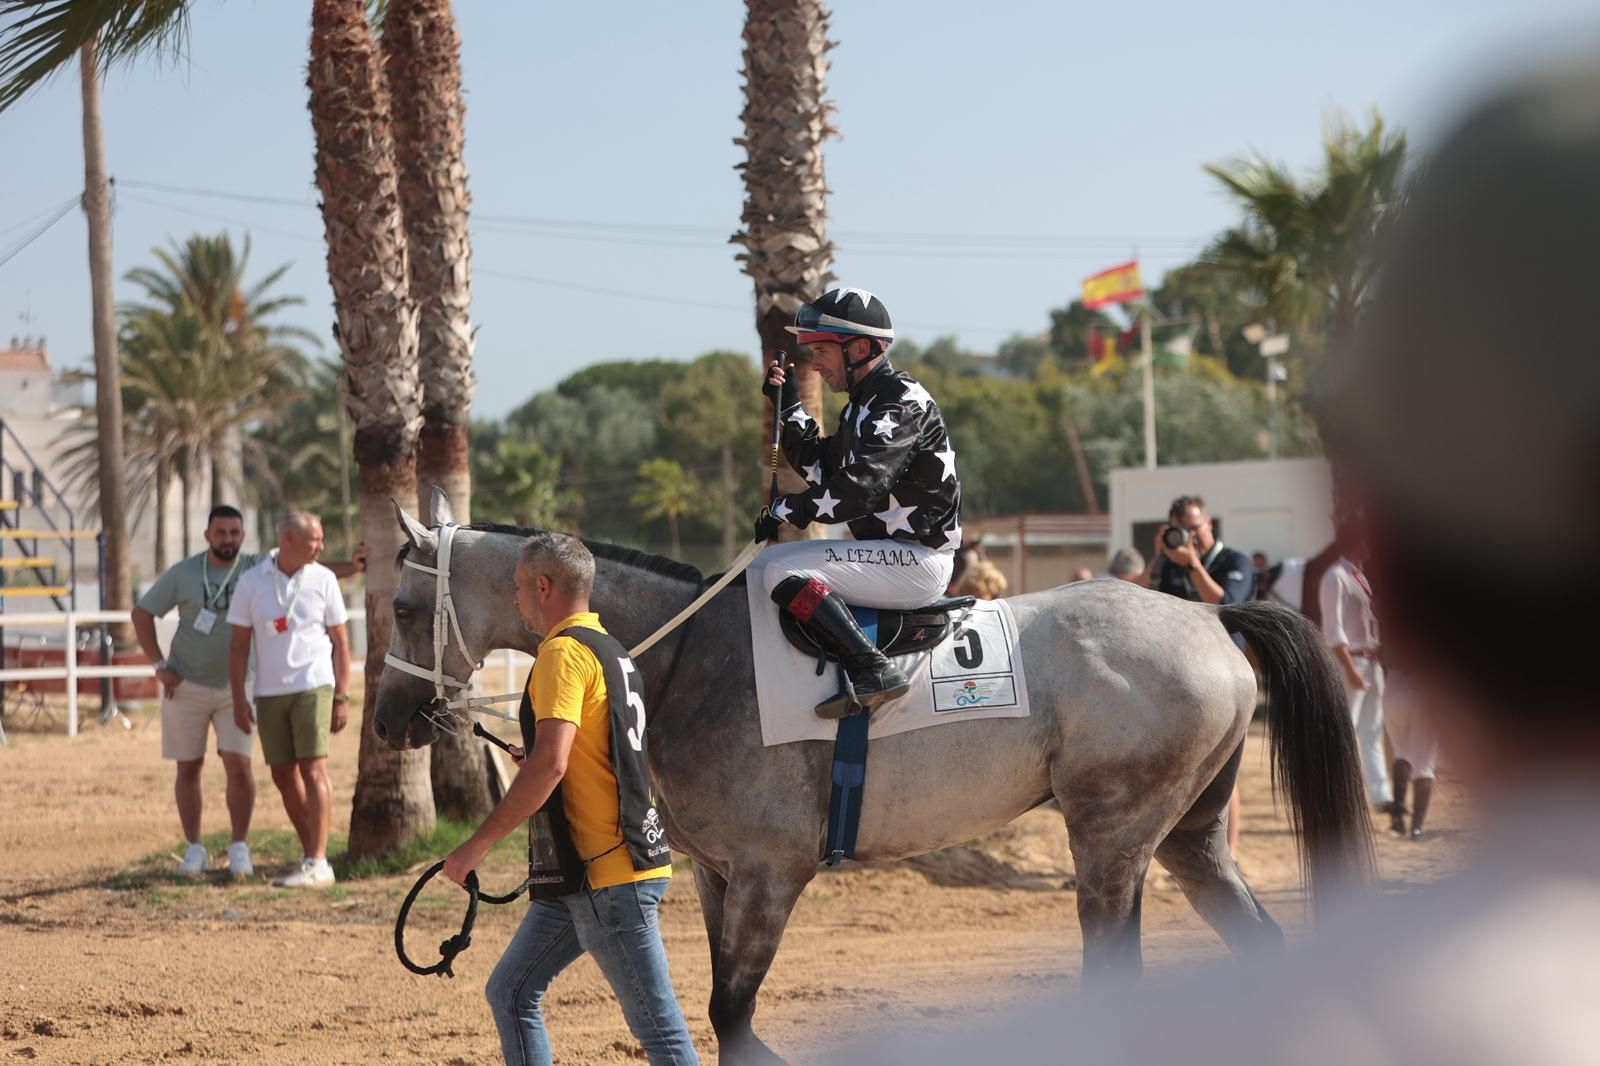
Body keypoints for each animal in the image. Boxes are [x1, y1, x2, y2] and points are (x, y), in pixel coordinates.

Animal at [374, 493, 1373, 1064]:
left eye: (404, 605)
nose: (386, 719)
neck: (687, 658)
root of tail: (1211, 618)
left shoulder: (772, 874)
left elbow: (731, 1013)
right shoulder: (717, 874)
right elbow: (723, 1017)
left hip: (1112, 839)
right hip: (1189, 840)